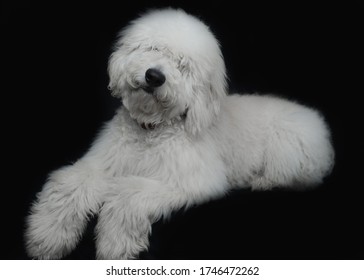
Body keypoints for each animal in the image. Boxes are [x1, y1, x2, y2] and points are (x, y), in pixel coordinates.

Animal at [24, 7, 332, 260]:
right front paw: (46, 238)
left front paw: (114, 244)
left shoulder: (188, 180)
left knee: (297, 177)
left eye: (183, 66)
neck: (150, 131)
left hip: (289, 144)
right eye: (154, 48)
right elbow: (70, 183)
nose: (154, 77)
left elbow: (128, 193)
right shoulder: (102, 163)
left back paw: (263, 181)